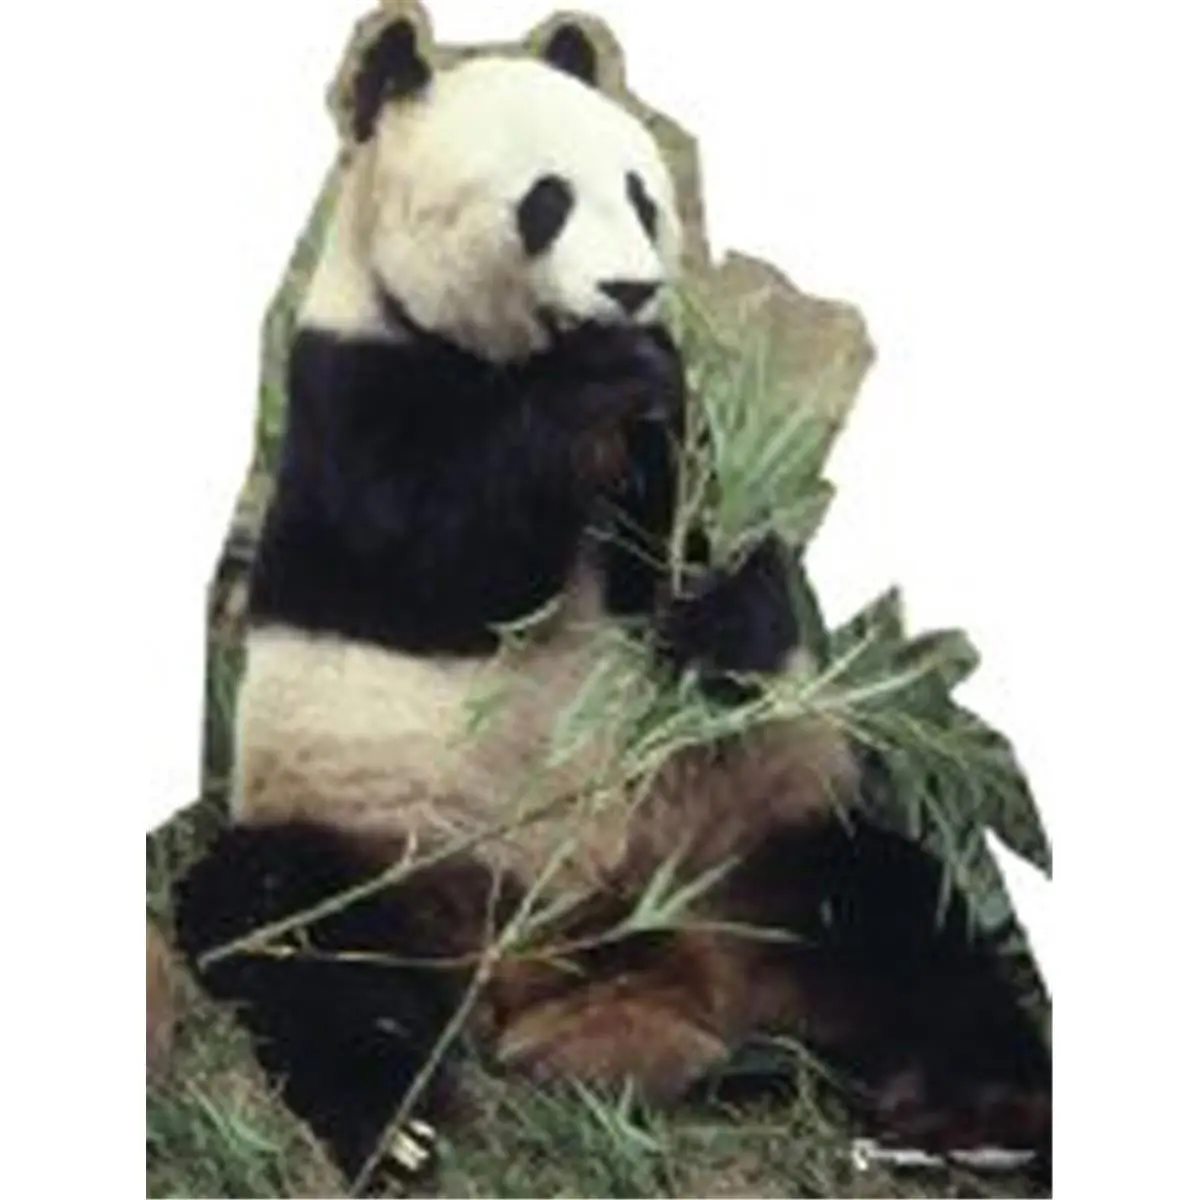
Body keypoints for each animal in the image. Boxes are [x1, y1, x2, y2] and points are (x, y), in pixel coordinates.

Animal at [173, 14, 1051, 1189]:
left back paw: (981, 1113)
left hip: (752, 840)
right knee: (289, 934)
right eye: (543, 201)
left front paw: (710, 595)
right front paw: (594, 385)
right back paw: (399, 1123)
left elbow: (718, 571)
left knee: (902, 914)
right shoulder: (348, 393)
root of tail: (578, 961)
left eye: (642, 196)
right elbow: (443, 558)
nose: (632, 292)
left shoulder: (684, 449)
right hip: (374, 831)